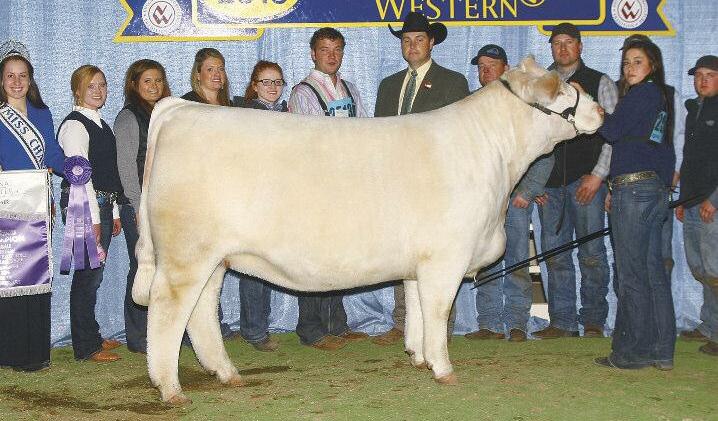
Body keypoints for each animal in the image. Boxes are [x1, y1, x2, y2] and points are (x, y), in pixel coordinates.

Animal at [132, 57, 603, 404]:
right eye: (564, 91)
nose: (600, 110)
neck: (491, 155)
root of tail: (182, 108)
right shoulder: (446, 257)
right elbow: (438, 312)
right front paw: (444, 369)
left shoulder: (419, 263)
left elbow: (417, 310)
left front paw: (418, 357)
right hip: (186, 256)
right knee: (167, 311)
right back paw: (170, 388)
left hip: (214, 259)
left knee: (201, 313)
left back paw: (227, 373)